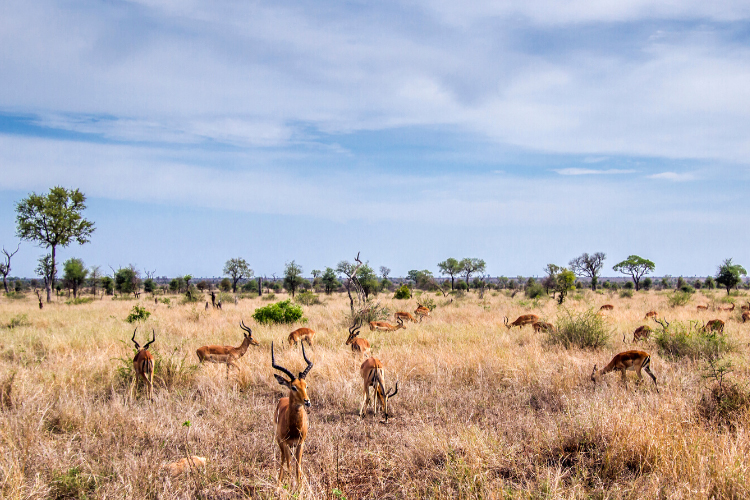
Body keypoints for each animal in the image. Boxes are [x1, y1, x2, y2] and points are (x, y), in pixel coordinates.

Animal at [272, 340, 312, 488]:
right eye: (293, 387)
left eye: (306, 385)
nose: (307, 401)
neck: (294, 427)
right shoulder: (285, 443)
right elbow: (288, 465)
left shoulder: (301, 443)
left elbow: (298, 467)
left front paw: (299, 487)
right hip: (280, 442)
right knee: (284, 460)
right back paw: (279, 483)